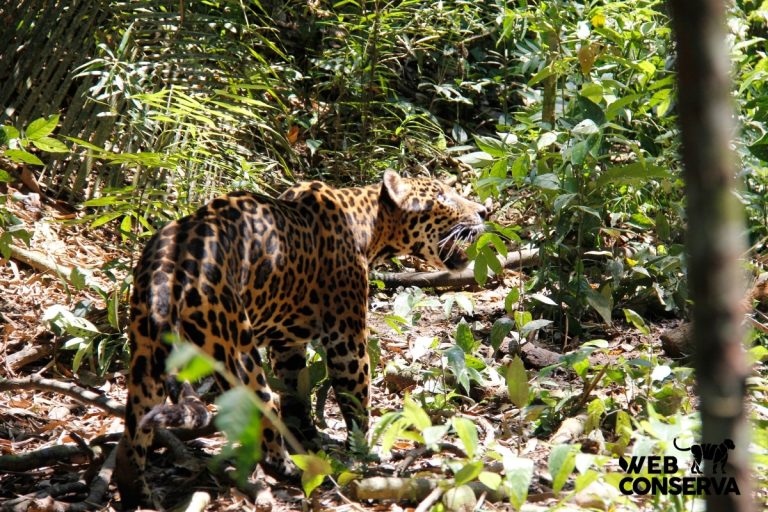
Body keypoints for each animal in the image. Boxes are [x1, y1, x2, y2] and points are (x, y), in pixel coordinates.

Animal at [115, 170, 487, 508]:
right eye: (440, 196)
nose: (485, 210)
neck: (371, 224)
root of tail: (169, 268)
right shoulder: (346, 338)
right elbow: (356, 399)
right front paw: (364, 452)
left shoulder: (287, 344)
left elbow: (296, 395)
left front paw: (307, 438)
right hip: (236, 353)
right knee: (263, 415)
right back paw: (288, 470)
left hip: (146, 358)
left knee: (135, 433)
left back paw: (139, 495)